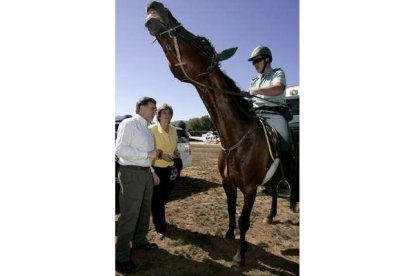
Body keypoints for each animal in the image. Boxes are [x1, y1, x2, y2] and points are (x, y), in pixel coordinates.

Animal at [146, 1, 298, 266]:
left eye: (203, 41)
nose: (156, 6)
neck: (236, 139)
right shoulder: (228, 184)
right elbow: (230, 210)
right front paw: (228, 234)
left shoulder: (250, 188)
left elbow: (244, 220)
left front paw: (240, 253)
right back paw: (270, 215)